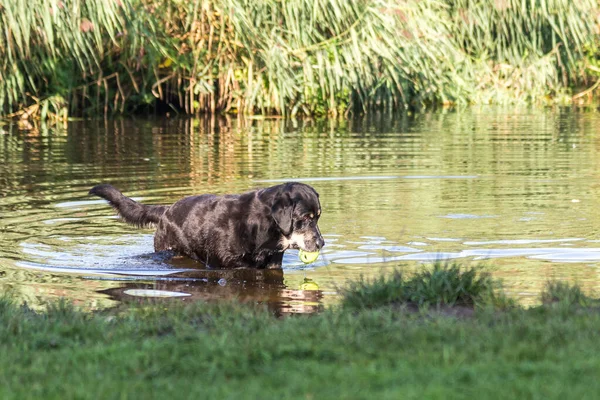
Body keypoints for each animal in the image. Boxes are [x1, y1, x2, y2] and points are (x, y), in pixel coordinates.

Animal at [88, 182, 324, 268]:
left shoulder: (273, 263)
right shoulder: (225, 264)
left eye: (318, 217)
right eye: (305, 218)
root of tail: (165, 210)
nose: (321, 243)